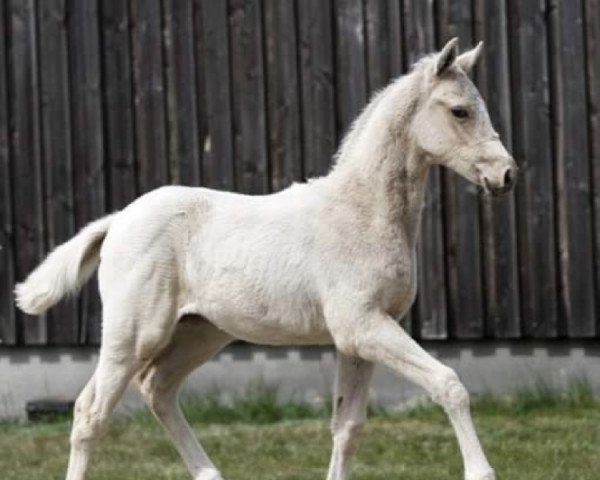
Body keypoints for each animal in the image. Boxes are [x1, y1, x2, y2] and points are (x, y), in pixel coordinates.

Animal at [16, 38, 516, 480]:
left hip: (201, 332)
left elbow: (347, 427)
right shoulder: (363, 327)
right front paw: (482, 472)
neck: (360, 211)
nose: (506, 174)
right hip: (135, 333)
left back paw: (211, 474)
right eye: (460, 110)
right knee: (90, 413)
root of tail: (118, 219)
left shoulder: (360, 337)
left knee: (157, 389)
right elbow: (448, 384)